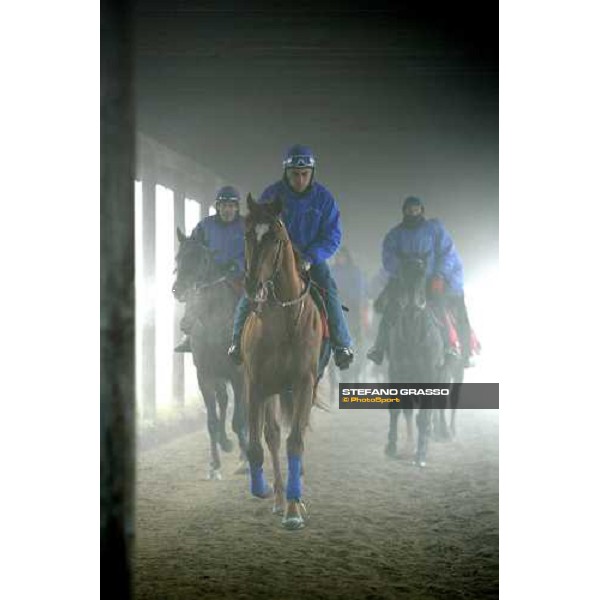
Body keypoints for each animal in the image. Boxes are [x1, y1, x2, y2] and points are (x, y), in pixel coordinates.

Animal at [240, 196, 324, 528]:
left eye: (275, 239)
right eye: (248, 234)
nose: (252, 286)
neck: (284, 319)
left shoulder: (303, 384)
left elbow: (296, 441)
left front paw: (293, 510)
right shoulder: (255, 384)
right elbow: (257, 444)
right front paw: (263, 489)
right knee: (273, 436)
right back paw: (276, 496)